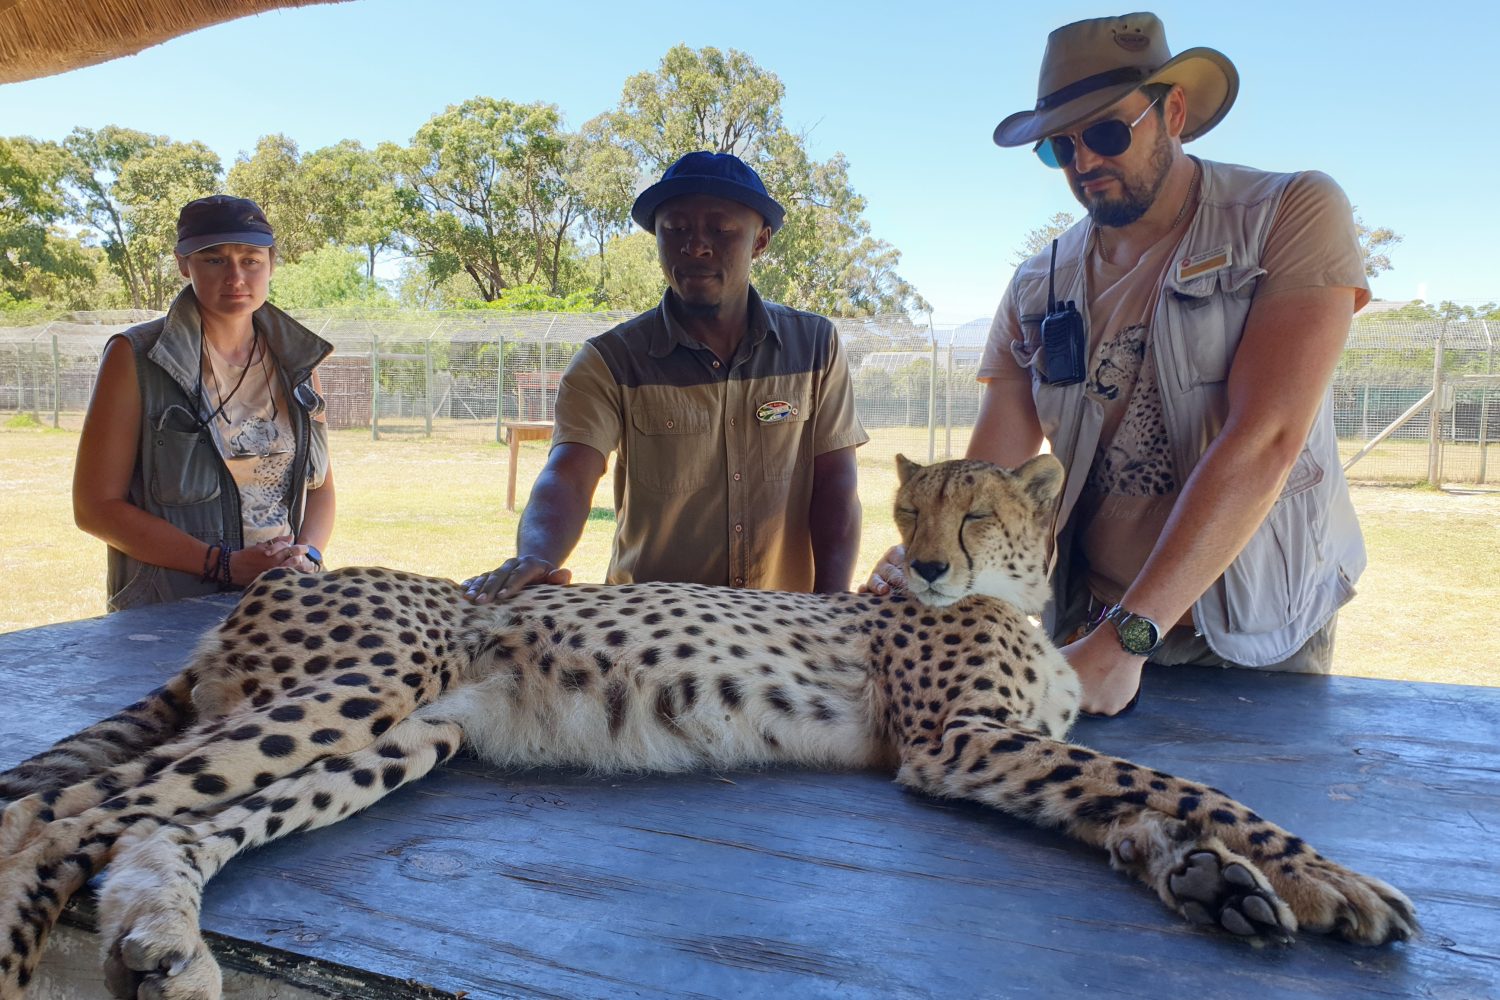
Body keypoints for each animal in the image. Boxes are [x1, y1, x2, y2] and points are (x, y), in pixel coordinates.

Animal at [0, 454, 1416, 1000]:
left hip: (401, 735)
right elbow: (1182, 782)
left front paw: (1220, 883)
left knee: (163, 828)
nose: (926, 566)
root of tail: (276, 582)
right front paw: (1328, 878)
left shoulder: (993, 754)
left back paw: (161, 941)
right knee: (55, 813)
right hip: (362, 685)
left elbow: (1130, 801)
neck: (1015, 606)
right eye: (916, 513)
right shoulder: (953, 745)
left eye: (974, 512)